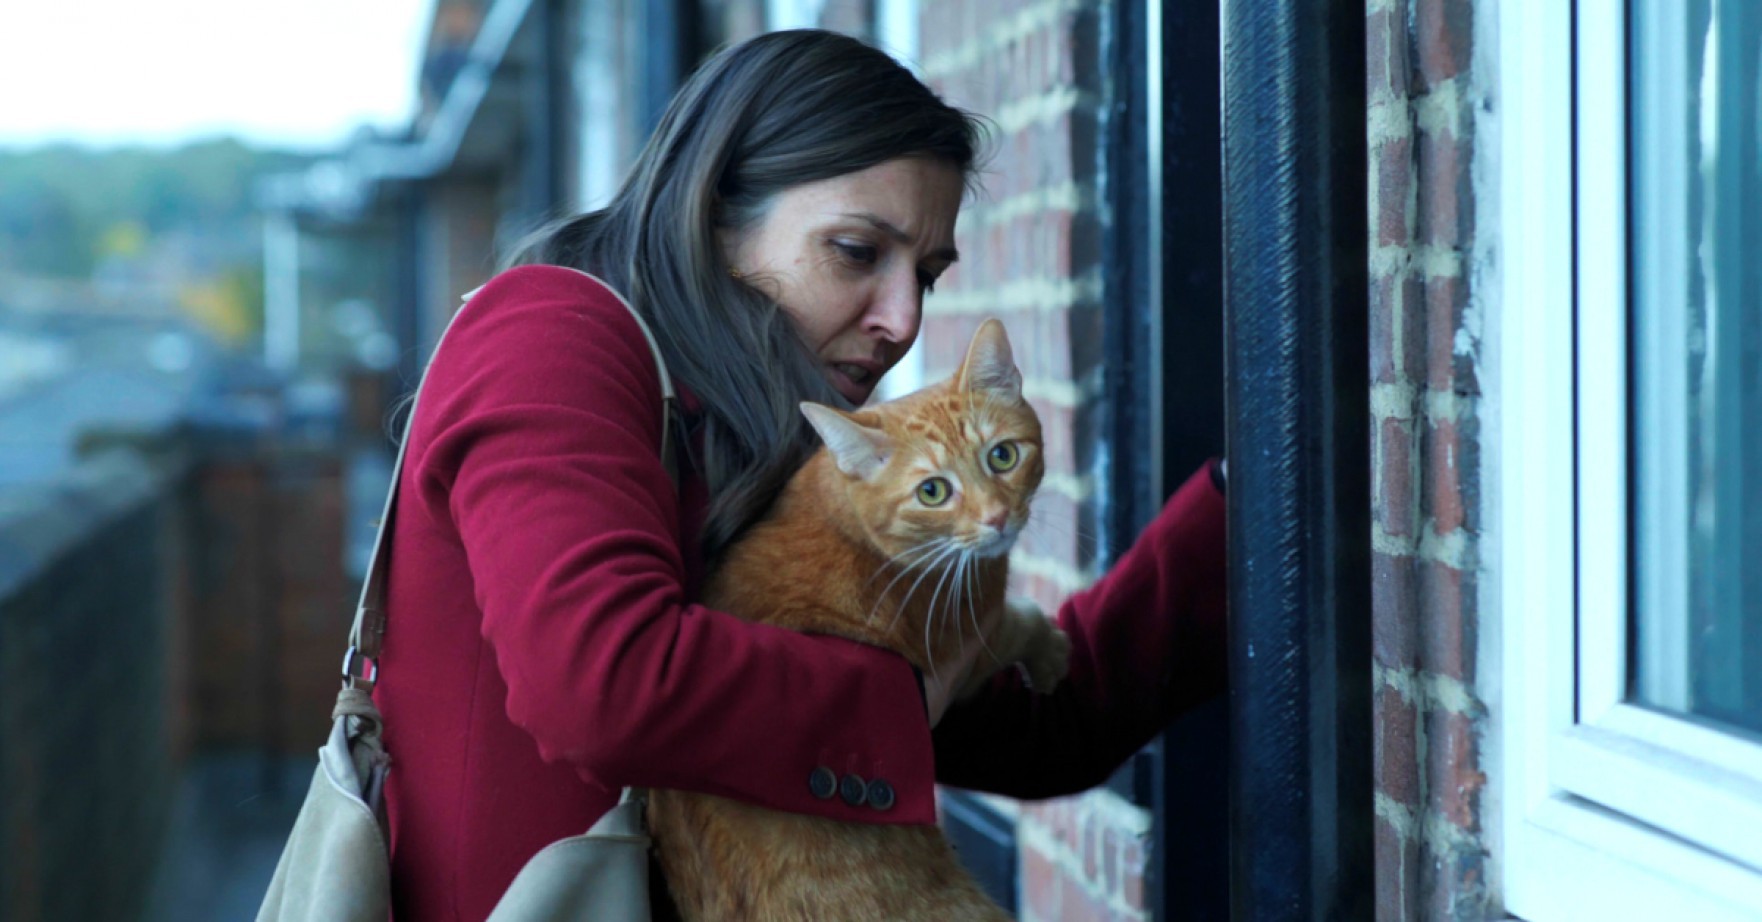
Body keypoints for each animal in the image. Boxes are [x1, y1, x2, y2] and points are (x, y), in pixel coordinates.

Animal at [644, 319, 1064, 922]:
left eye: (1003, 456)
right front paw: (1048, 647)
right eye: (933, 491)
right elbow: (1013, 623)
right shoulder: (961, 640)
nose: (998, 517)